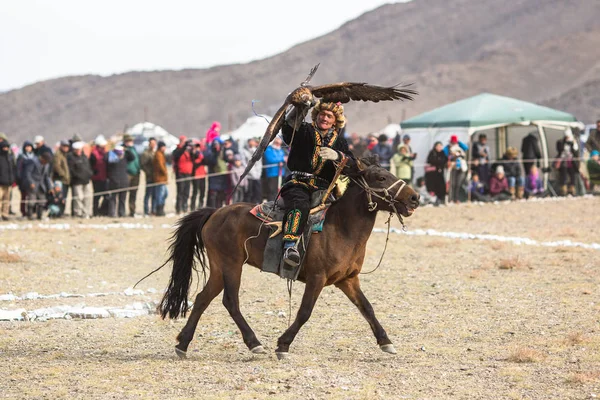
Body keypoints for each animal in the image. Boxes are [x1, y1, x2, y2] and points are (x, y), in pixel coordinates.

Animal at [157, 159, 420, 360]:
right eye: (381, 177)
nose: (415, 198)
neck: (342, 227)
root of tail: (215, 212)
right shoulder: (316, 278)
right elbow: (304, 312)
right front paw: (283, 344)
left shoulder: (347, 280)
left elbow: (367, 308)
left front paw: (386, 341)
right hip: (231, 265)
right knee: (230, 302)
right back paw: (254, 343)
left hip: (219, 268)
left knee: (203, 298)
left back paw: (183, 344)